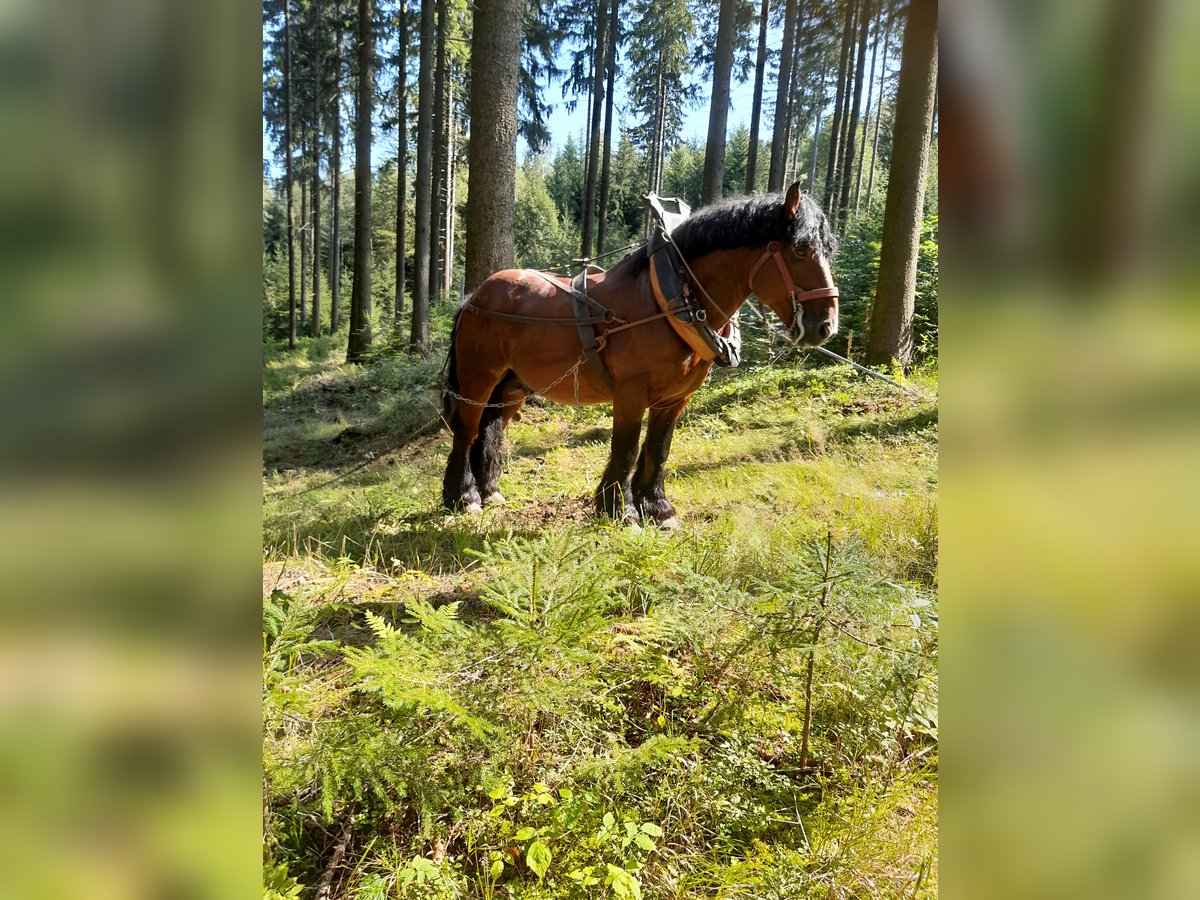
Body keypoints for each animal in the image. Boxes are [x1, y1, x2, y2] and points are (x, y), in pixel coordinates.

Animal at [436, 181, 840, 528]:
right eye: (800, 249)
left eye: (829, 251)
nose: (826, 326)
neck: (670, 300)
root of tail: (475, 296)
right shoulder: (631, 394)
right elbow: (627, 449)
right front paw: (620, 509)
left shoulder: (675, 399)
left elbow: (658, 449)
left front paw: (658, 507)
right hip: (477, 379)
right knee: (467, 431)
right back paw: (464, 497)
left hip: (511, 388)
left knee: (489, 431)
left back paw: (489, 491)